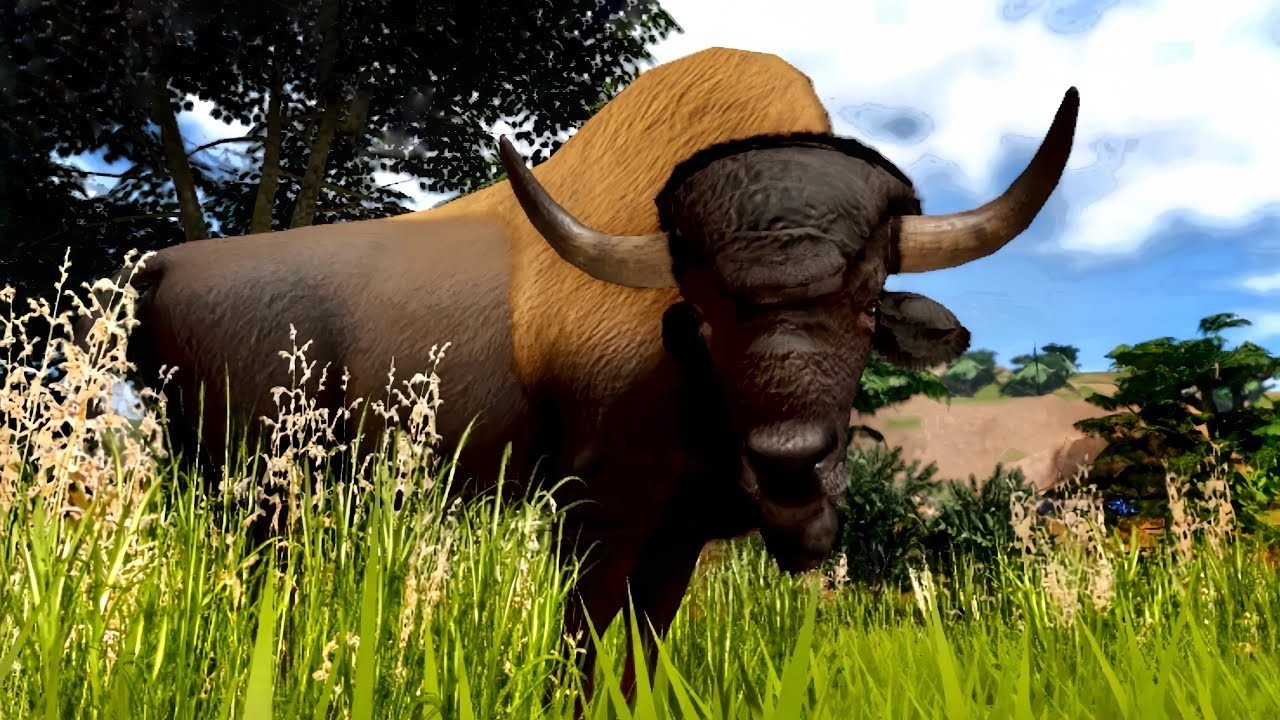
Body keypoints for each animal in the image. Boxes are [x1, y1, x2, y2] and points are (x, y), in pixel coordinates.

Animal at [78, 47, 1078, 707]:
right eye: (702, 308)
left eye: (870, 300)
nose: (791, 463)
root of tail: (162, 264)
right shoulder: (598, 511)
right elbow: (585, 642)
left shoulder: (678, 531)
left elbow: (640, 649)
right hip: (256, 496)